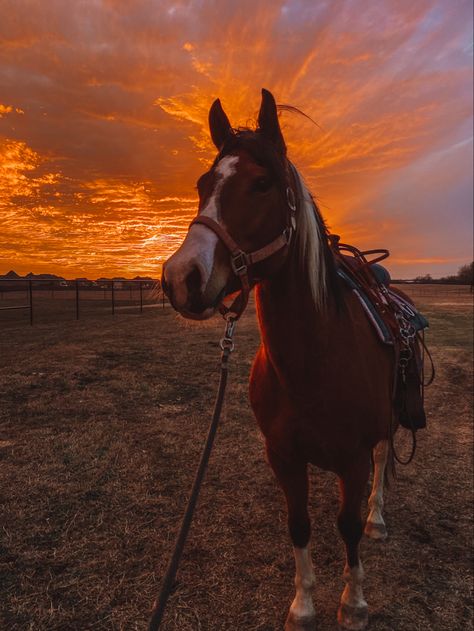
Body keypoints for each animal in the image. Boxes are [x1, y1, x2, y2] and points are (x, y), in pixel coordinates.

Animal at [161, 90, 398, 631]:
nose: (181, 277)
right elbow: (300, 524)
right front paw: (303, 605)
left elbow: (347, 526)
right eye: (203, 185)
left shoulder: (352, 457)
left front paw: (353, 601)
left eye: (262, 183)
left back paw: (377, 518)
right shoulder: (283, 455)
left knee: (381, 463)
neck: (314, 363)